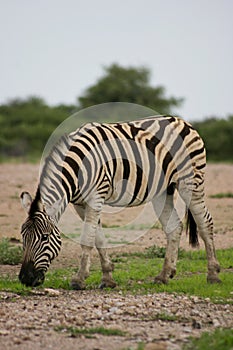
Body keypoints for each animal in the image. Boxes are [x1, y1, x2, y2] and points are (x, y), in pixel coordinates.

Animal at [19, 115, 221, 288]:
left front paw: (79, 279)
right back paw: (164, 275)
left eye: (44, 238)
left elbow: (87, 238)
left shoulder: (96, 195)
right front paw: (107, 278)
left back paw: (213, 275)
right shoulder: (80, 204)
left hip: (191, 181)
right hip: (163, 191)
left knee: (205, 223)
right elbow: (98, 237)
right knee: (174, 227)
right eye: (23, 238)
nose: (25, 279)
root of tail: (182, 121)